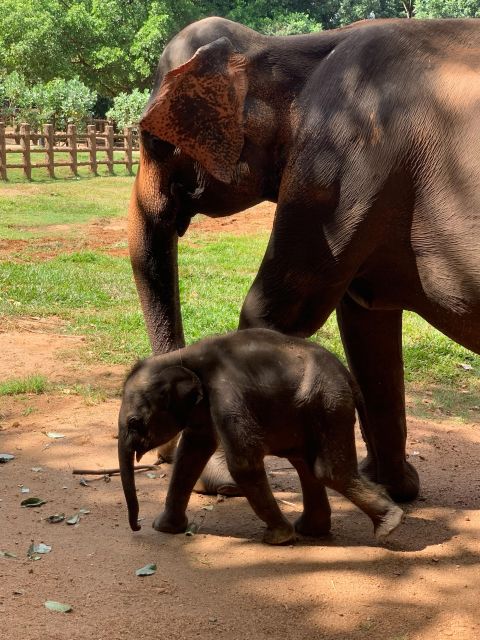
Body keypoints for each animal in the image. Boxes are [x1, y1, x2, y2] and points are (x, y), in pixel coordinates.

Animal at [118, 330, 404, 544]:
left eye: (134, 423)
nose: (137, 527)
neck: (183, 356)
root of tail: (348, 376)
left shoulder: (226, 394)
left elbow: (242, 463)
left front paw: (279, 538)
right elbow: (192, 451)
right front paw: (165, 528)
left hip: (330, 404)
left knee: (328, 471)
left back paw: (390, 524)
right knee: (305, 465)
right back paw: (312, 530)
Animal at [127, 16, 480, 504]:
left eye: (154, 140)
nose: (158, 452)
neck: (287, 49)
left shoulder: (338, 169)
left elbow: (274, 312)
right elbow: (366, 325)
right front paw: (392, 487)